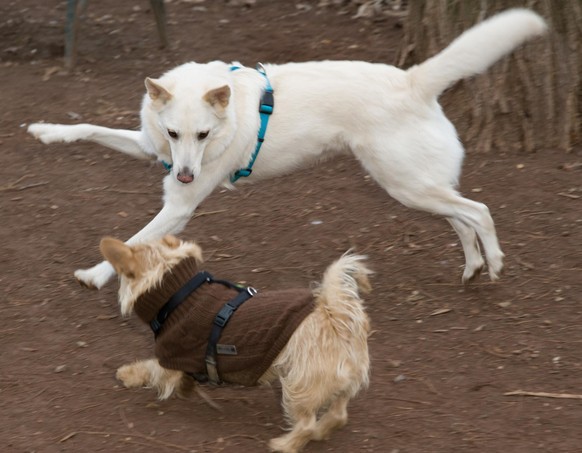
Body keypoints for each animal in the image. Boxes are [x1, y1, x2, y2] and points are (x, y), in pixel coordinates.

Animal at [27, 8, 548, 288]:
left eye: (204, 137)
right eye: (174, 134)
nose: (185, 175)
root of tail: (414, 80)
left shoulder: (178, 207)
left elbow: (135, 241)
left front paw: (96, 274)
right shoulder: (146, 145)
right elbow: (90, 127)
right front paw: (47, 131)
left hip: (405, 184)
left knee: (478, 210)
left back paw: (493, 261)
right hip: (414, 186)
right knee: (460, 217)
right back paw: (473, 265)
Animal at [100, 235, 372, 450]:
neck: (178, 294)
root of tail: (337, 317)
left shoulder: (170, 357)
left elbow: (149, 367)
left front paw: (127, 374)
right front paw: (186, 388)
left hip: (299, 387)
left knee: (306, 424)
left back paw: (285, 445)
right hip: (338, 386)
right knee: (338, 414)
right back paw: (321, 432)